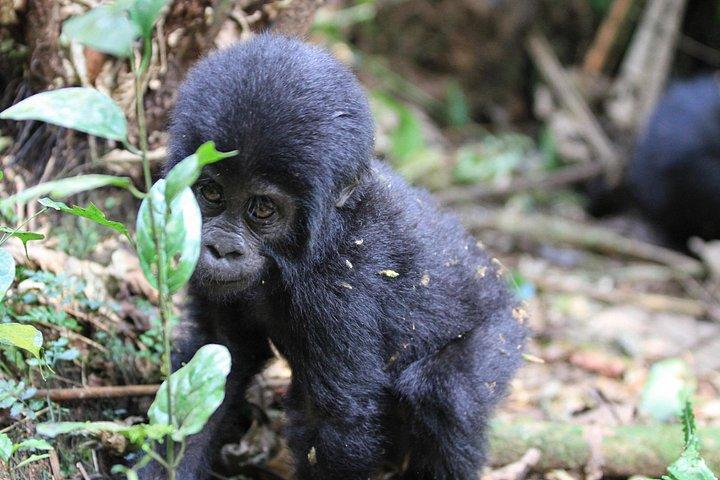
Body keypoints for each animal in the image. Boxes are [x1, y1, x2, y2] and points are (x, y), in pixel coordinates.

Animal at [139, 33, 526, 480]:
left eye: (263, 209)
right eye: (212, 192)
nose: (220, 249)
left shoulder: (339, 296)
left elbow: (337, 421)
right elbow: (218, 360)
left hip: (502, 333)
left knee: (447, 393)